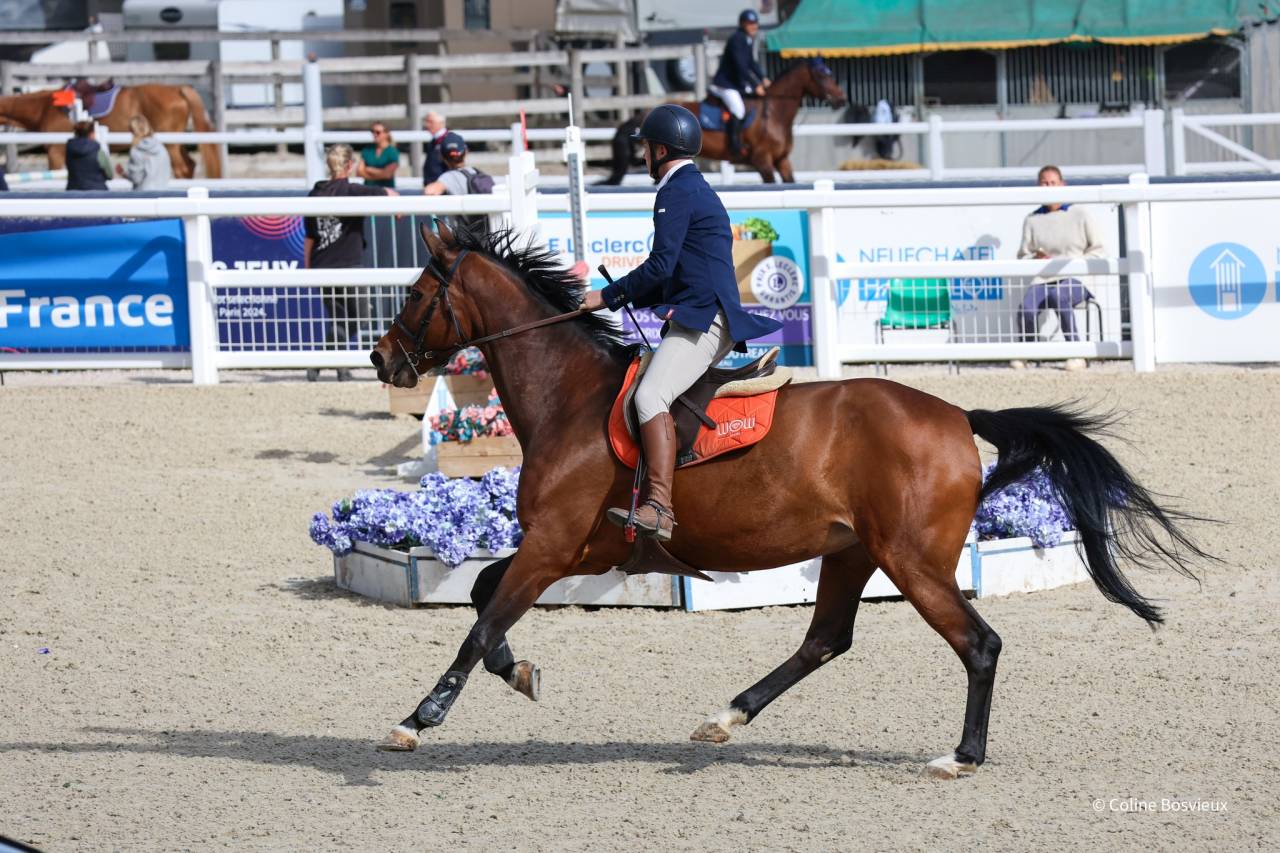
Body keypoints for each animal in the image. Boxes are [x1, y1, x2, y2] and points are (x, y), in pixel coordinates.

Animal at [0, 84, 221, 179]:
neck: (44, 108)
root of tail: (178, 89)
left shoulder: (55, 151)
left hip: (170, 143)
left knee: (181, 169)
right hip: (175, 141)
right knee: (189, 166)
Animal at [368, 220, 1211, 778]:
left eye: (416, 292)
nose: (382, 359)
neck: (570, 396)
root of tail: (954, 416)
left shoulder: (552, 544)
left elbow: (480, 624)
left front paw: (418, 719)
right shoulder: (574, 545)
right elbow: (483, 596)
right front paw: (519, 673)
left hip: (913, 561)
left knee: (978, 643)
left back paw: (961, 755)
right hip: (853, 551)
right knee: (826, 639)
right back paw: (726, 716)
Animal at [602, 59, 848, 185]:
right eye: (822, 76)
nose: (842, 99)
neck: (774, 114)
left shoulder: (782, 160)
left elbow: (791, 182)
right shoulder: (762, 161)